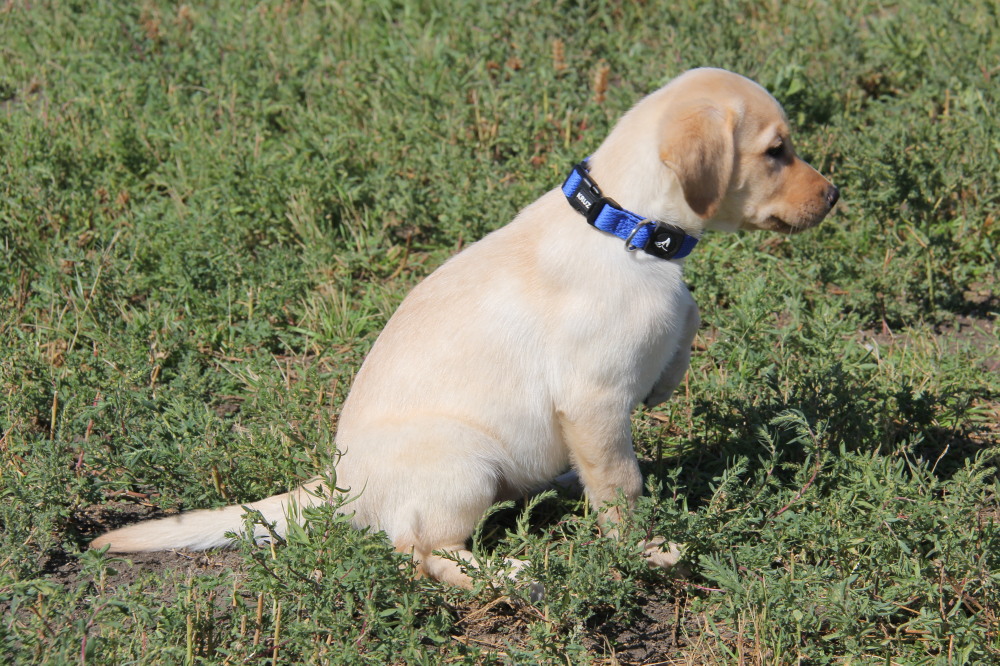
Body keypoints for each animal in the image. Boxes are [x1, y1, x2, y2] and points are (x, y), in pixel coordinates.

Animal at [92, 67, 836, 588]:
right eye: (777, 151)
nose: (834, 194)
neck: (623, 225)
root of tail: (334, 484)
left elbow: (688, 311)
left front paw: (666, 375)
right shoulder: (593, 400)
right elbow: (620, 491)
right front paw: (646, 551)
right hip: (465, 463)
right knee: (421, 553)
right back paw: (513, 574)